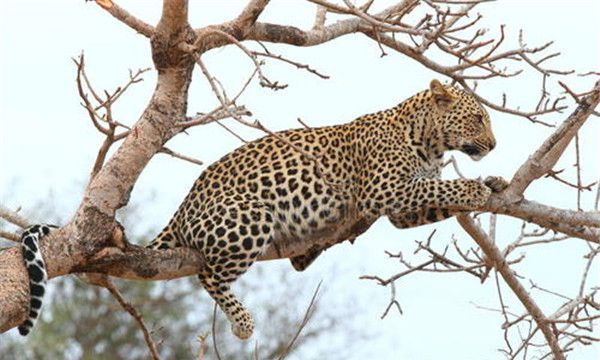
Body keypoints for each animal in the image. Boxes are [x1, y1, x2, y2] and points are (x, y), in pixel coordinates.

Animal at [19, 79, 506, 340]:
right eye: (477, 118)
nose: (494, 145)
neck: (431, 142)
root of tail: (182, 211)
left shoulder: (405, 206)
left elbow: (436, 199)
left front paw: (494, 183)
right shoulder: (387, 190)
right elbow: (442, 187)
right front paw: (476, 187)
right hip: (250, 215)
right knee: (208, 274)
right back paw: (242, 322)